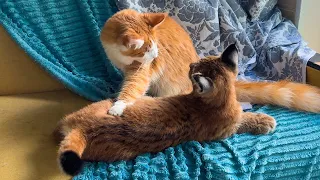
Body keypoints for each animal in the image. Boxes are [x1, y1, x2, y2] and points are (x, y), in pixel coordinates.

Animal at [54, 44, 276, 176]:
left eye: (195, 68)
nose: (190, 64)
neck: (220, 100)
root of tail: (84, 129)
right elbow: (243, 117)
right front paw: (264, 119)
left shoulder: (229, 128)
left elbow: (243, 118)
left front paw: (263, 120)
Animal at [100, 8, 320, 115]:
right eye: (148, 49)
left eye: (155, 47)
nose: (154, 55)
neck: (117, 54)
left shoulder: (141, 72)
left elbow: (132, 88)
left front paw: (118, 106)